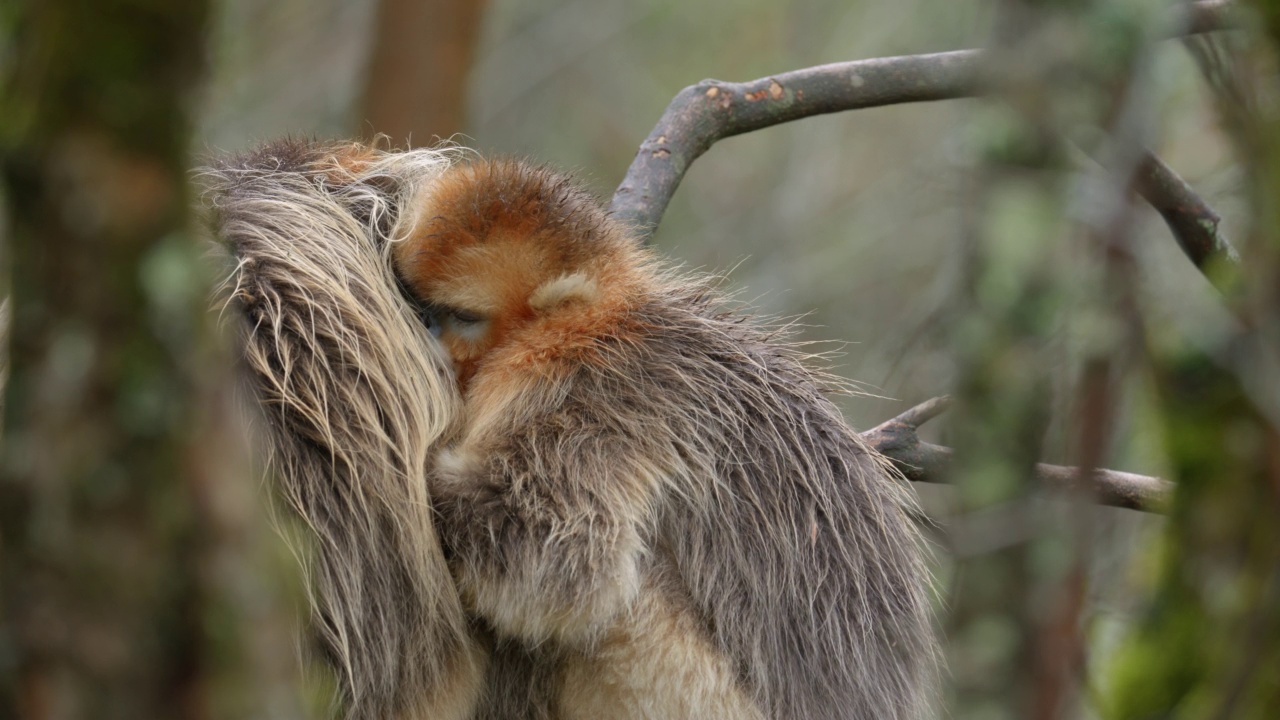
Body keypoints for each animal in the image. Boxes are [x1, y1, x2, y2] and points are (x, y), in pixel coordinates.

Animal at [204, 140, 936, 717]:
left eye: (457, 315)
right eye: (416, 300)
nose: (425, 340)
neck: (598, 321)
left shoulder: (587, 392)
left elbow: (561, 555)